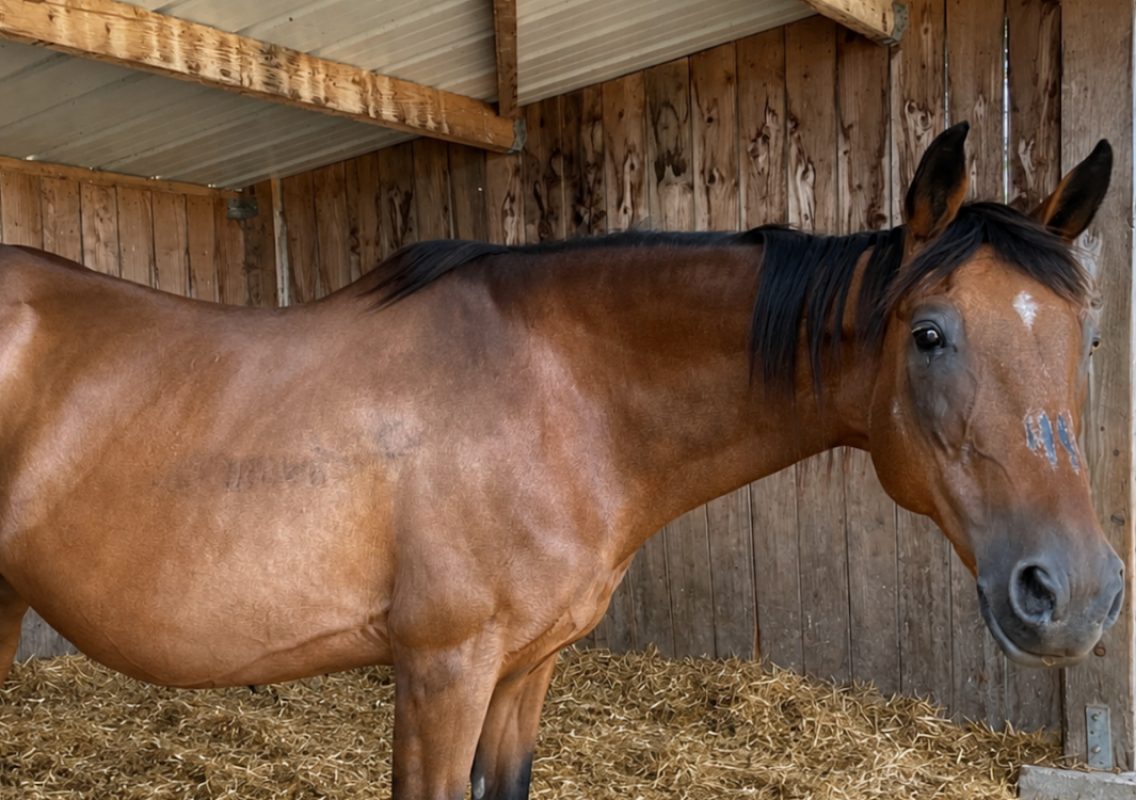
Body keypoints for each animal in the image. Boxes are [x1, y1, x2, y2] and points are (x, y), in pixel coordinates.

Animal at [0, 121, 1122, 799]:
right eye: (929, 334)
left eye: (1085, 335)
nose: (1072, 593)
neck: (554, 391)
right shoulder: (441, 669)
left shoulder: (523, 669)